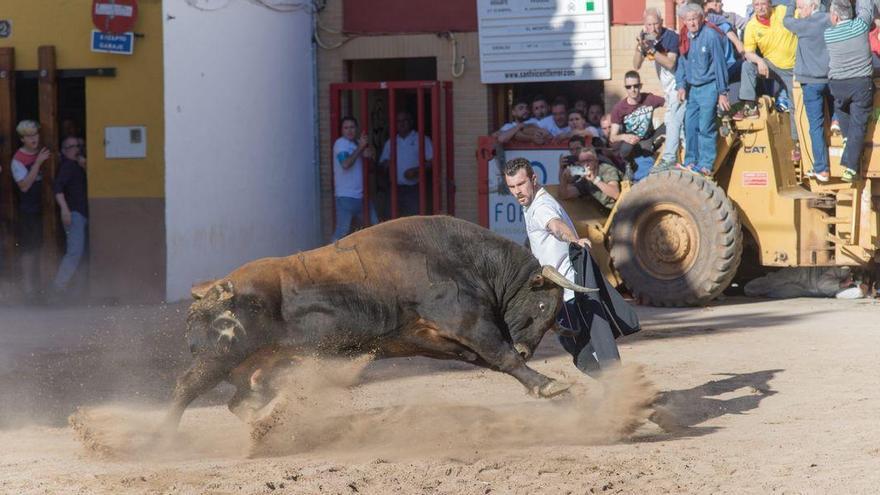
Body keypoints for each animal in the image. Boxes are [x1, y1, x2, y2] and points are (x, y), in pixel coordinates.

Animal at [162, 217, 596, 430]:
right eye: (542, 305)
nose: (527, 348)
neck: (468, 260)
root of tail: (212, 290)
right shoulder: (469, 322)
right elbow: (501, 356)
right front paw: (550, 385)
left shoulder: (434, 338)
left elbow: (491, 360)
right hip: (218, 356)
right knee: (185, 387)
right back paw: (164, 438)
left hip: (253, 366)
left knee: (239, 399)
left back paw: (265, 423)